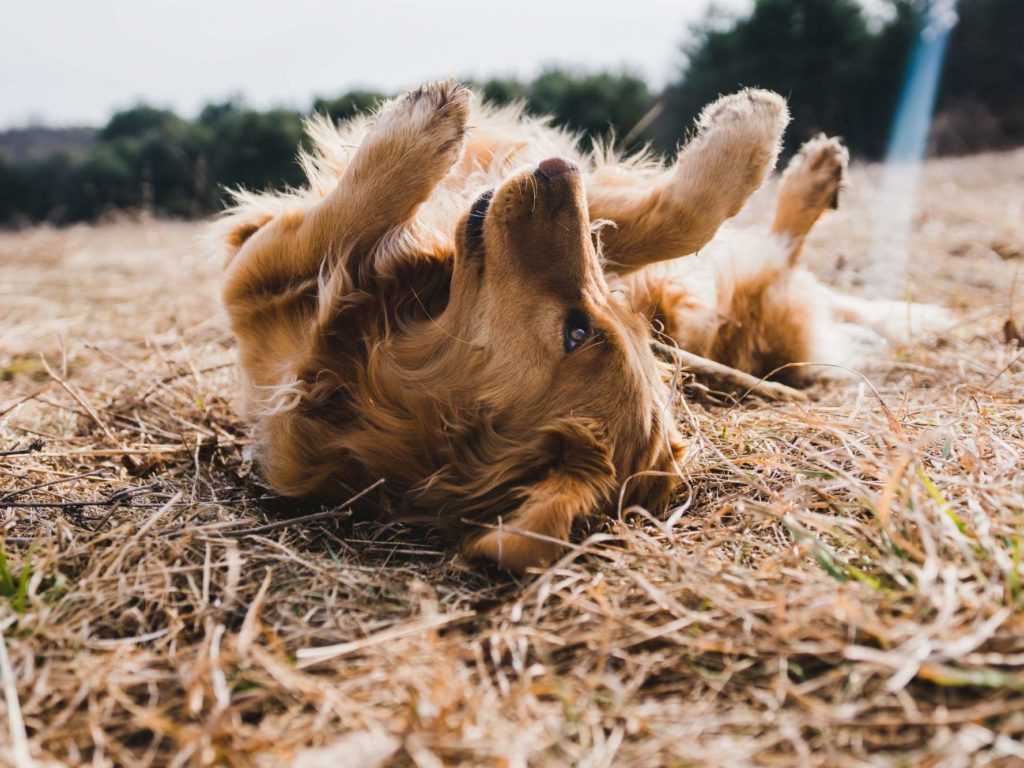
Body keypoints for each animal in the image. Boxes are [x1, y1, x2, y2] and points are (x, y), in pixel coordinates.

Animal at [211, 79, 946, 573]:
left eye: (577, 331)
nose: (559, 170)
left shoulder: (254, 286)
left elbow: (343, 219)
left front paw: (414, 134)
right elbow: (671, 219)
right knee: (774, 254)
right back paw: (817, 174)